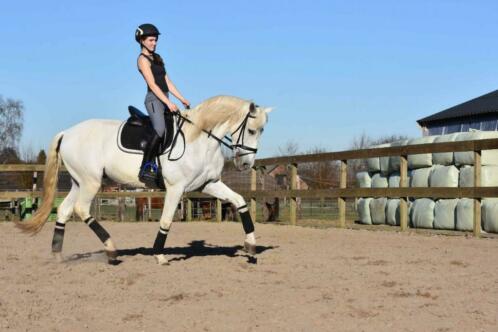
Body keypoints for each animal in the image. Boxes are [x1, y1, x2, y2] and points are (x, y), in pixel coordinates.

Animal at [17, 95, 272, 264]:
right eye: (251, 130)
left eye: (262, 132)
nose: (246, 164)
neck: (199, 139)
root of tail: (68, 132)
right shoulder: (176, 188)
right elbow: (166, 220)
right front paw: (159, 254)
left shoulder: (208, 184)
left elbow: (239, 201)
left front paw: (251, 246)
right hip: (91, 181)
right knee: (81, 209)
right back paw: (111, 249)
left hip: (78, 182)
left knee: (64, 211)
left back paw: (58, 254)